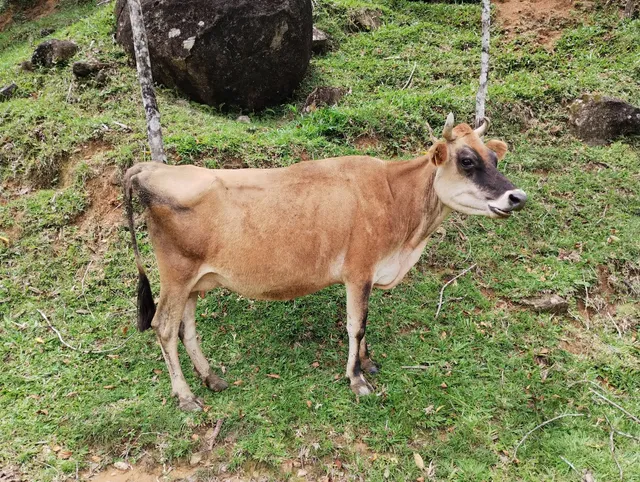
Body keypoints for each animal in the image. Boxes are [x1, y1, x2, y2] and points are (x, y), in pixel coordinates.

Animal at [123, 114, 527, 411]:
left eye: (495, 158)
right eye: (467, 161)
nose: (518, 197)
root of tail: (150, 168)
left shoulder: (368, 274)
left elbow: (363, 322)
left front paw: (367, 362)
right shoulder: (358, 271)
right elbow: (356, 325)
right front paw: (357, 379)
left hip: (194, 281)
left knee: (185, 329)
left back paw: (211, 378)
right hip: (176, 274)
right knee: (163, 327)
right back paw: (185, 396)